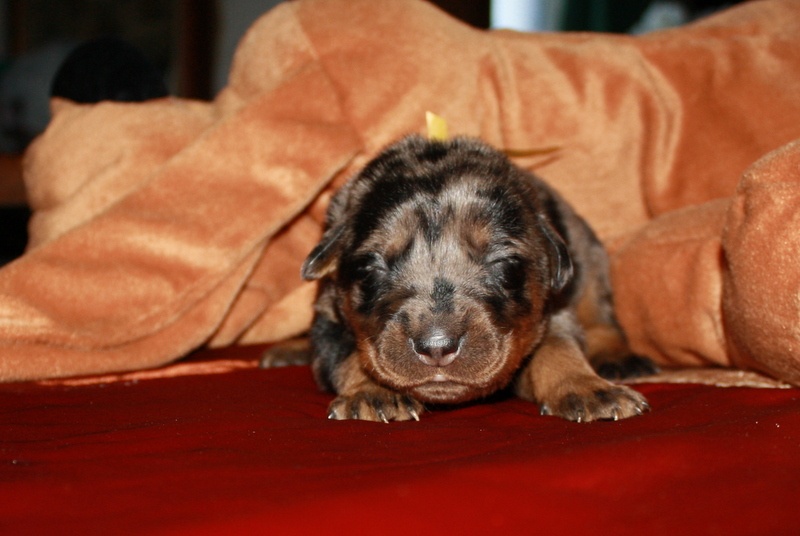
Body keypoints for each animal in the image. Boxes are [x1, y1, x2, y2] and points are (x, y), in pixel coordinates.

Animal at [262, 135, 656, 422]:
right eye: (373, 268)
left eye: (503, 264)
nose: (437, 346)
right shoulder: (328, 315)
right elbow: (345, 353)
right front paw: (373, 392)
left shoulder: (553, 309)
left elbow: (558, 345)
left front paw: (588, 388)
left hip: (587, 258)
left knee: (602, 317)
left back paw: (620, 358)